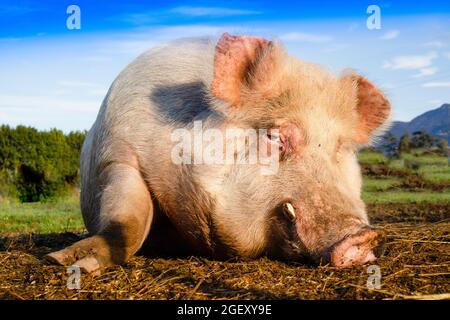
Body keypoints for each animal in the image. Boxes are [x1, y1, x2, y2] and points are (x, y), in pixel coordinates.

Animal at [44, 31, 390, 272]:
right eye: (276, 136)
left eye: (341, 147)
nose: (362, 236)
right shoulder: (117, 153)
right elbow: (127, 222)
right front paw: (64, 262)